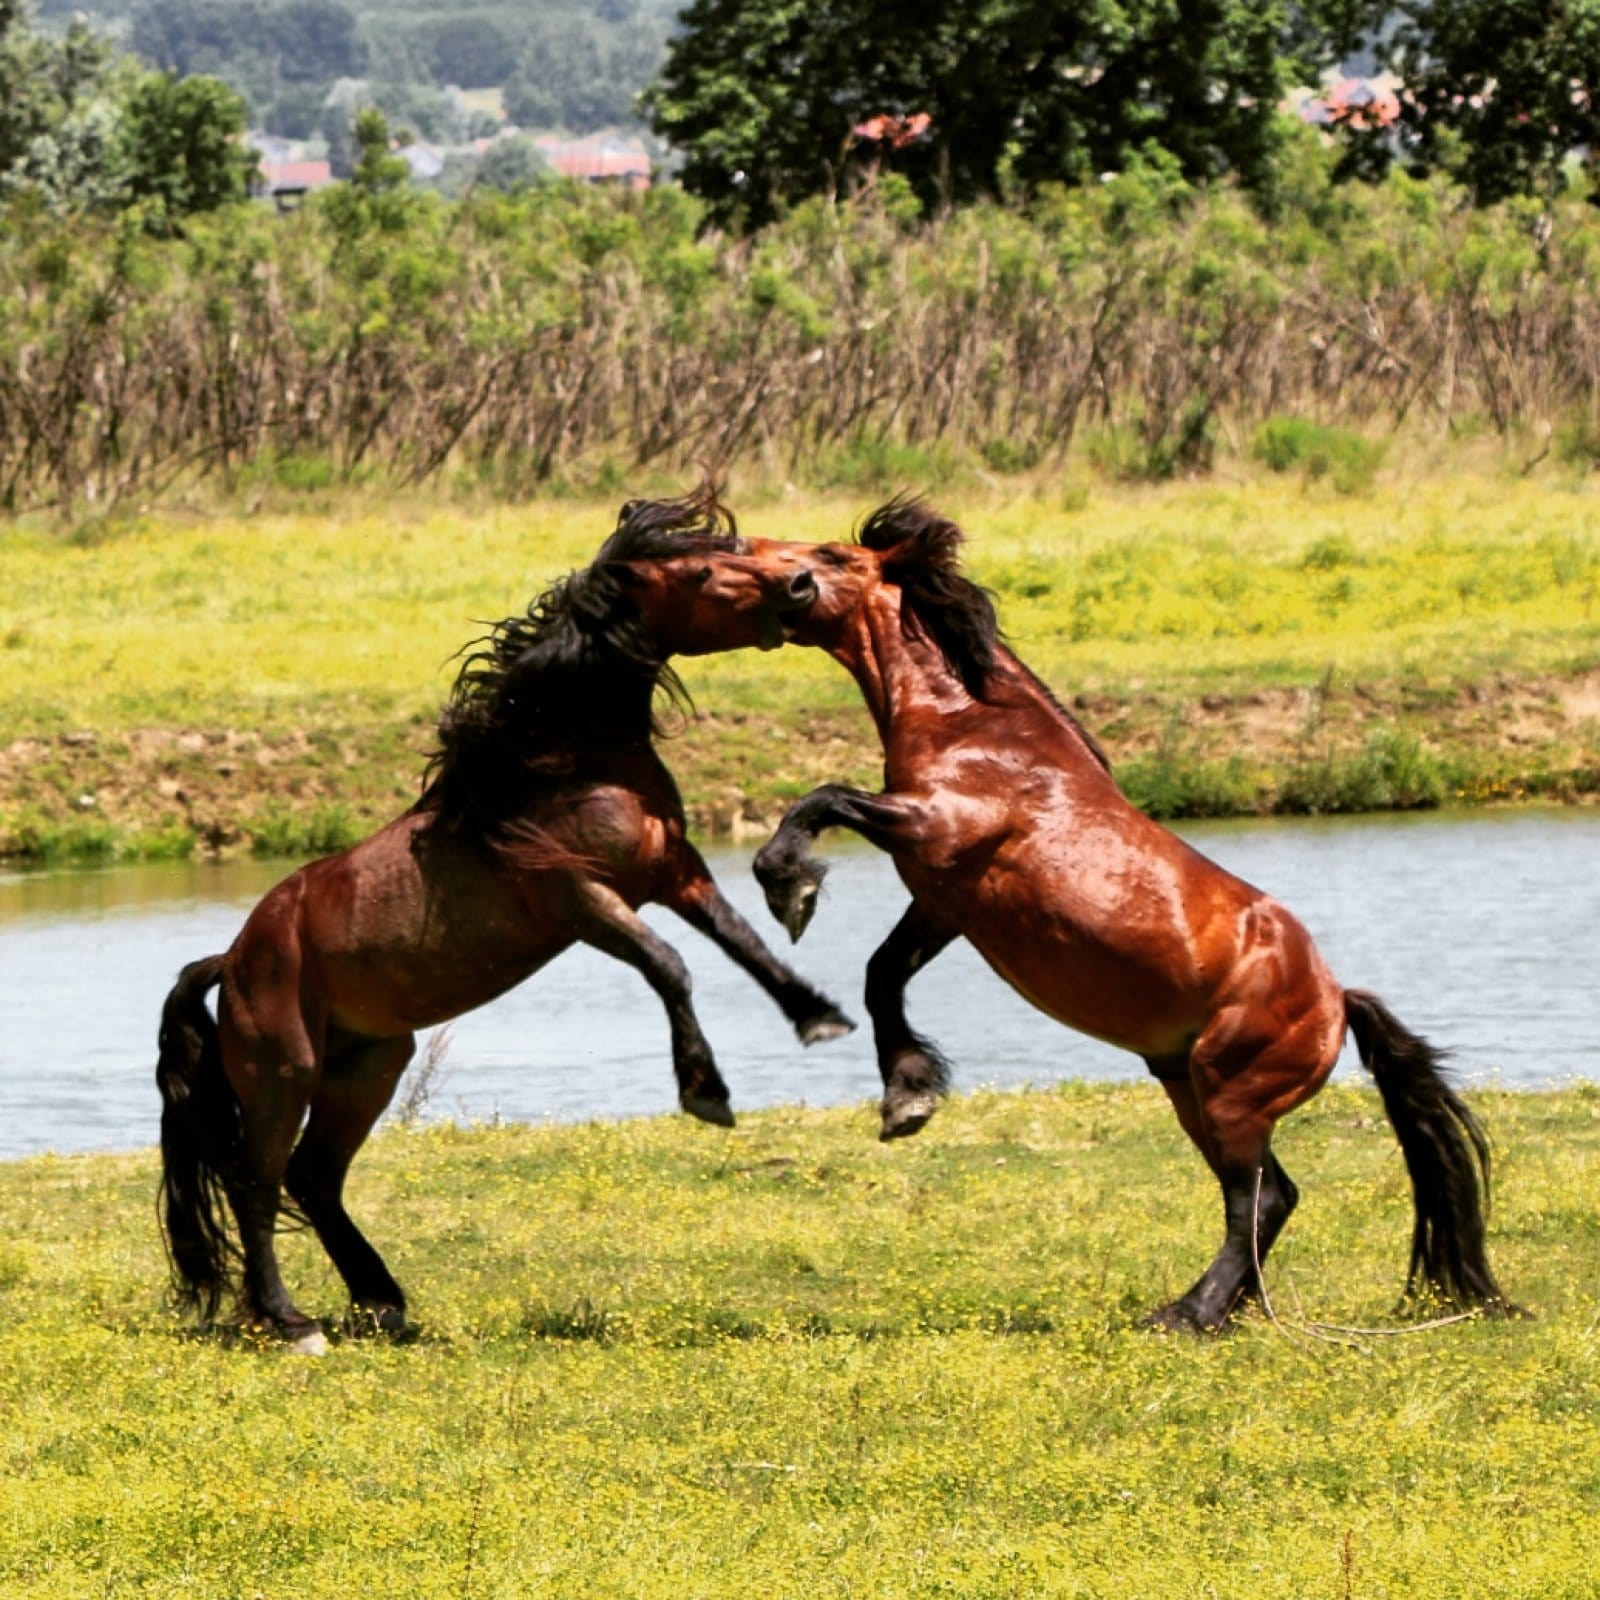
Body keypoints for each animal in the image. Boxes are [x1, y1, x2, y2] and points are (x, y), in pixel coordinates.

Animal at [154, 489, 851, 1350]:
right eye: (698, 570)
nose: (799, 586)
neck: (562, 765)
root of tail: (233, 959)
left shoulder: (672, 873)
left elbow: (745, 945)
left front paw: (819, 1016)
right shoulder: (583, 901)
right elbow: (671, 966)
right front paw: (705, 1092)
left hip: (369, 1066)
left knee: (313, 1177)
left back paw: (380, 1301)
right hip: (286, 1070)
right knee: (257, 1182)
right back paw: (292, 1322)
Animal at [736, 505, 1510, 1331]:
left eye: (830, 554)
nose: (773, 573)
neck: (975, 728)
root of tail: (1336, 1001)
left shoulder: (935, 829)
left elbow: (824, 798)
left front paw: (790, 888)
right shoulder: (943, 903)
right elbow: (881, 975)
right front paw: (907, 1095)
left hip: (1230, 1093)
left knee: (1259, 1198)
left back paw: (1191, 1314)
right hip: (1190, 1089)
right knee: (1267, 1197)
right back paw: (1219, 1309)